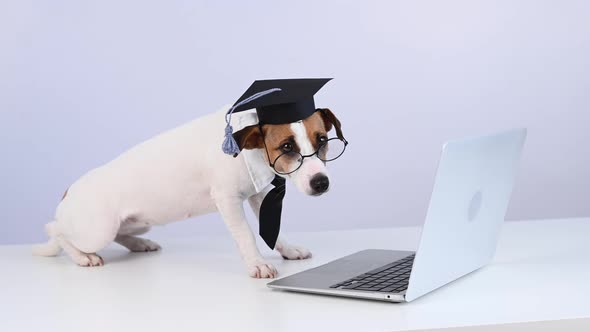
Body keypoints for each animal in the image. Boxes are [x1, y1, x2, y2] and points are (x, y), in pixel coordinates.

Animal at [32, 106, 344, 278]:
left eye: (322, 140)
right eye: (287, 147)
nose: (321, 182)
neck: (249, 144)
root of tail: (70, 190)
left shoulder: (260, 195)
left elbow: (274, 230)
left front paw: (288, 250)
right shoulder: (228, 200)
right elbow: (246, 235)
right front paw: (257, 264)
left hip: (137, 223)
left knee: (123, 234)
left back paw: (139, 244)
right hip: (98, 230)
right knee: (56, 230)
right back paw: (82, 257)